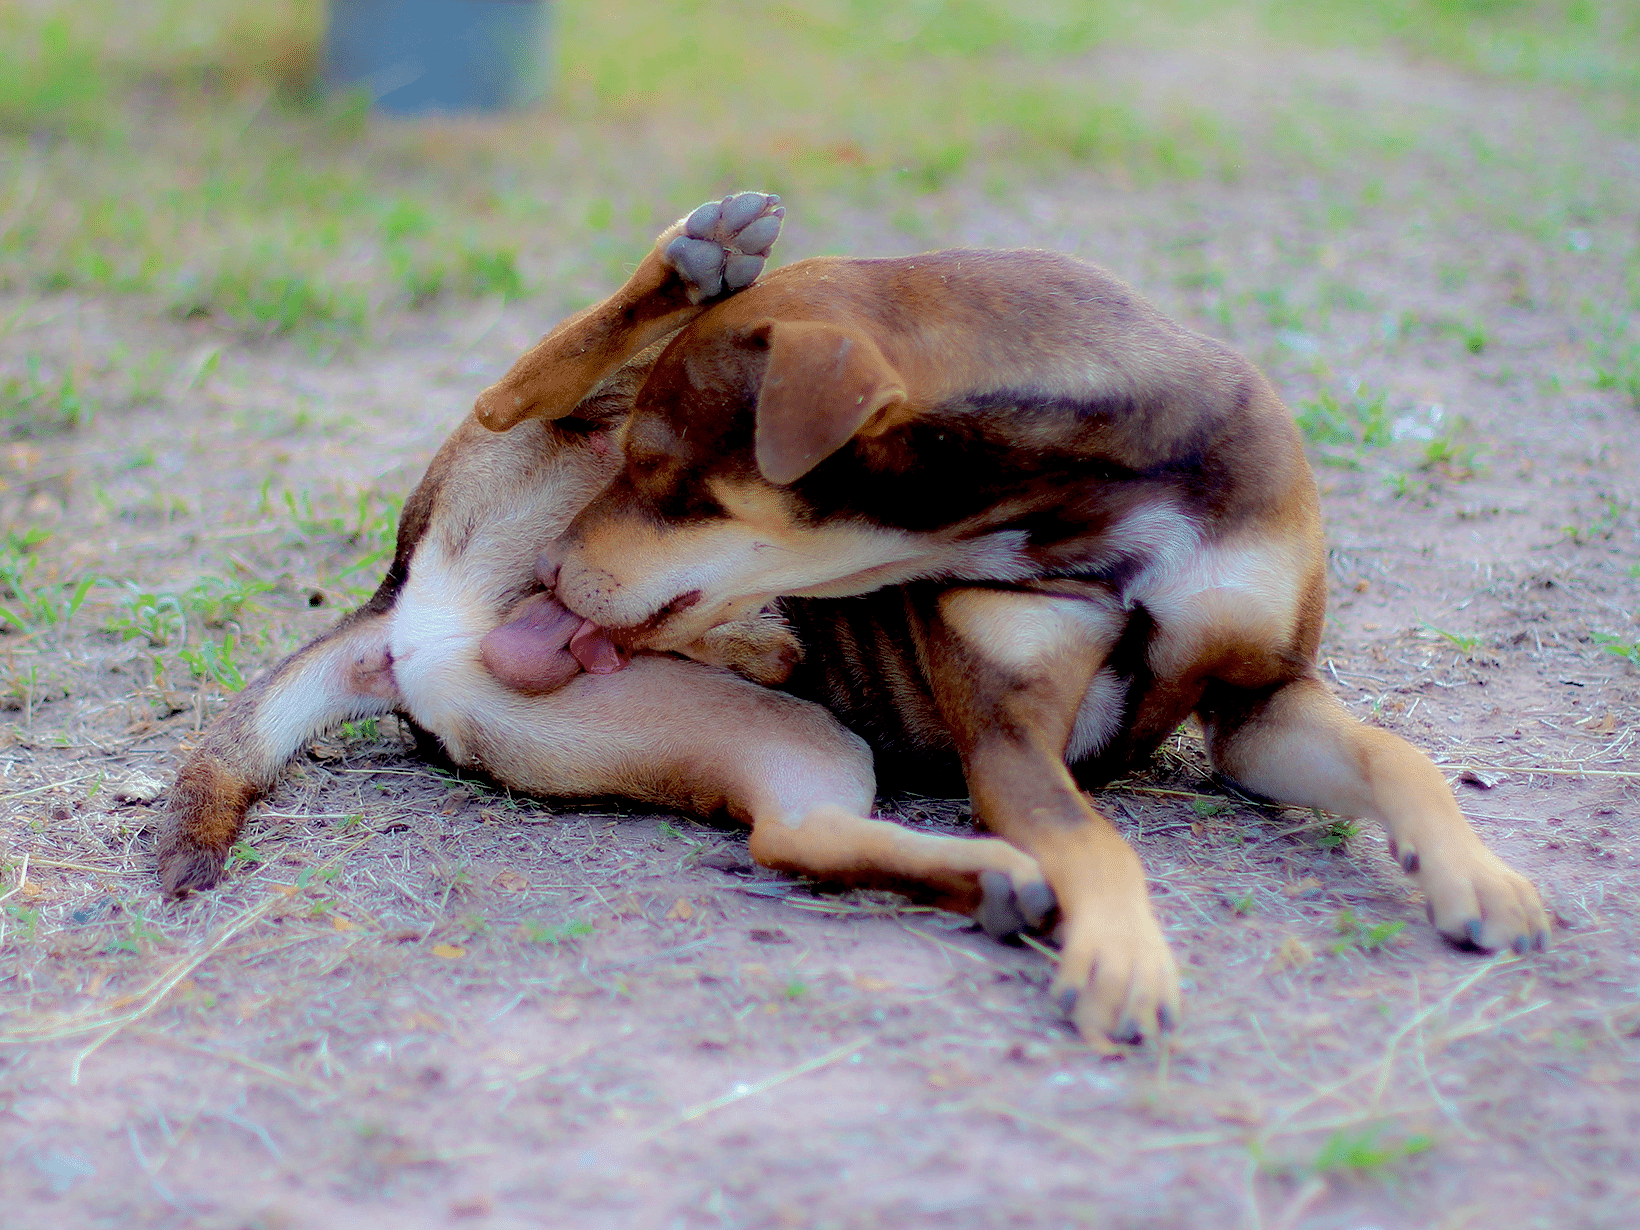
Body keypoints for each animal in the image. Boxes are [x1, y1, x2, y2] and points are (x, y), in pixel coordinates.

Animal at [156, 195, 1049, 944]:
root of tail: (412, 610)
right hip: (653, 415)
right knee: (512, 397)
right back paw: (699, 261)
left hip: (776, 739)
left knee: (790, 798)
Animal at [475, 237, 1548, 1043]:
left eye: (658, 472)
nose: (547, 572)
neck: (1106, 508)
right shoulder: (1010, 739)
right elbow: (1094, 837)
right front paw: (1124, 957)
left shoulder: (1262, 704)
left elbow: (1398, 756)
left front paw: (1479, 876)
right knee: (508, 400)